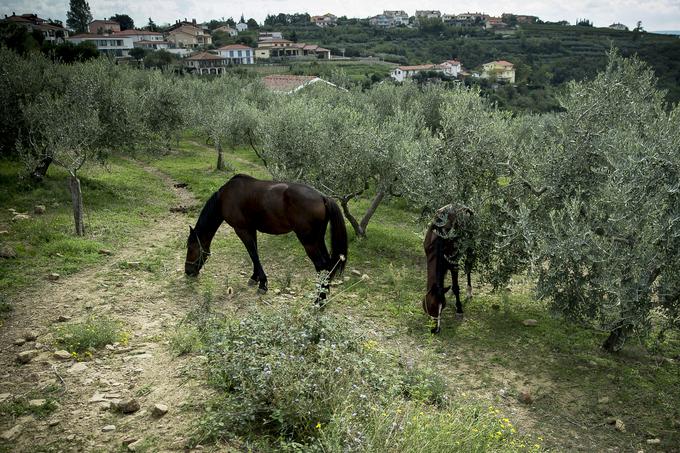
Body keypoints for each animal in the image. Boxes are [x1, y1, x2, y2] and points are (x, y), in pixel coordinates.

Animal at [185, 173, 348, 300]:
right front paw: (255, 278)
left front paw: (262, 283)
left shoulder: (241, 230)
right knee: (328, 264)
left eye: (190, 248)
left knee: (321, 266)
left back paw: (319, 301)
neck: (225, 197)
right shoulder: (251, 229)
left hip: (308, 241)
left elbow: (253, 253)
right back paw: (324, 295)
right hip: (318, 239)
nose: (188, 271)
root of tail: (323, 197)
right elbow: (254, 254)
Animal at [422, 203, 476, 334]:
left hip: (470, 244)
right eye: (432, 305)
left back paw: (469, 291)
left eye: (443, 307)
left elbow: (456, 287)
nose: (435, 329)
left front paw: (459, 309)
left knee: (468, 264)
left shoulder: (454, 264)